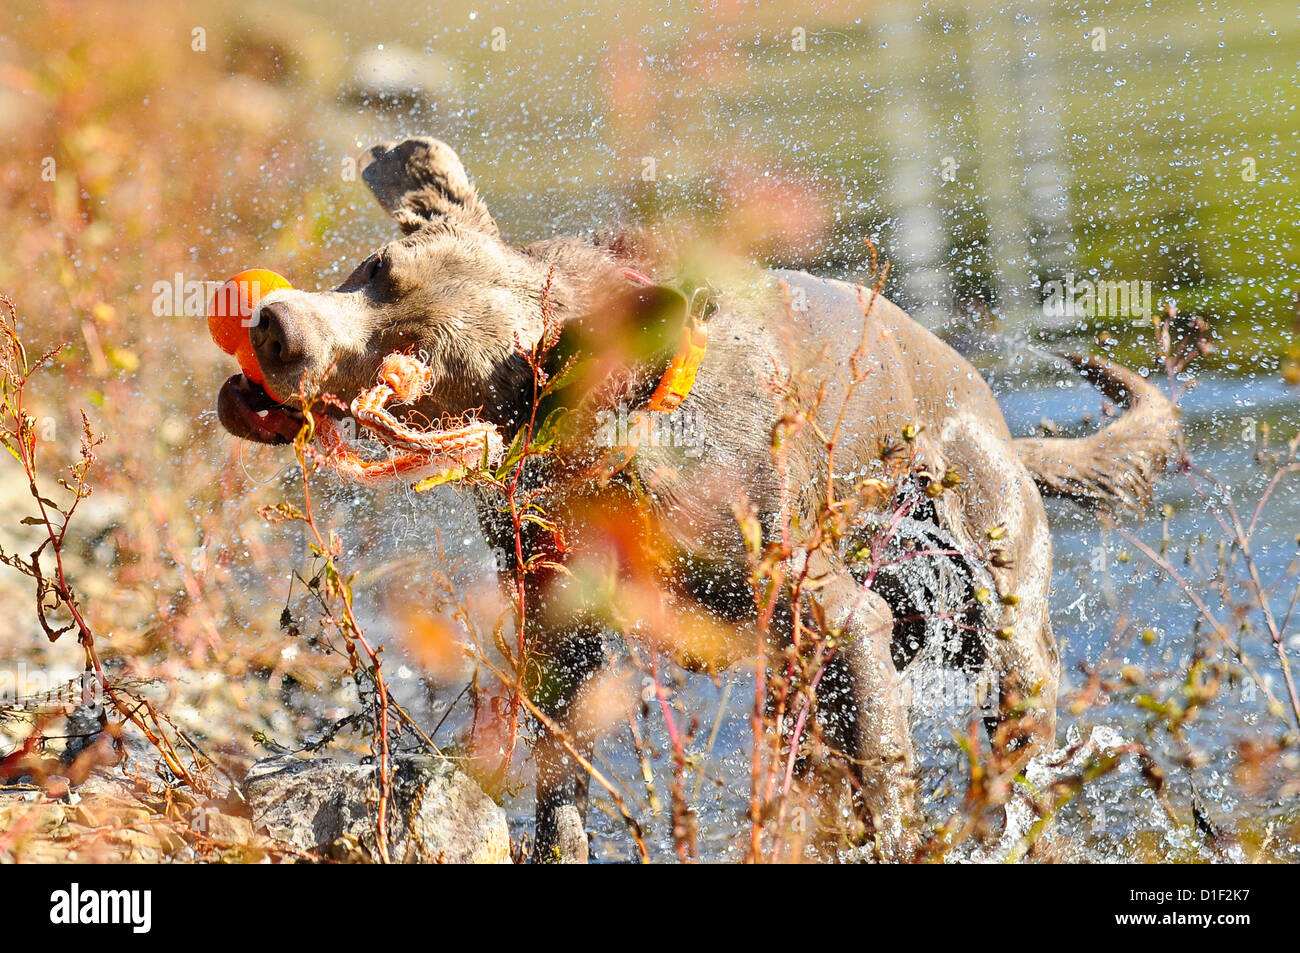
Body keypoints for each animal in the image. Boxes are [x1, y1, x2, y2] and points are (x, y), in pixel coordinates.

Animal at [215, 135, 1180, 863]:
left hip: (996, 603)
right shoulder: (556, 623)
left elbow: (889, 783)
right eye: (375, 267)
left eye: (411, 372)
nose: (275, 326)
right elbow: (560, 787)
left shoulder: (839, 614)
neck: (614, 446)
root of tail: (998, 423)